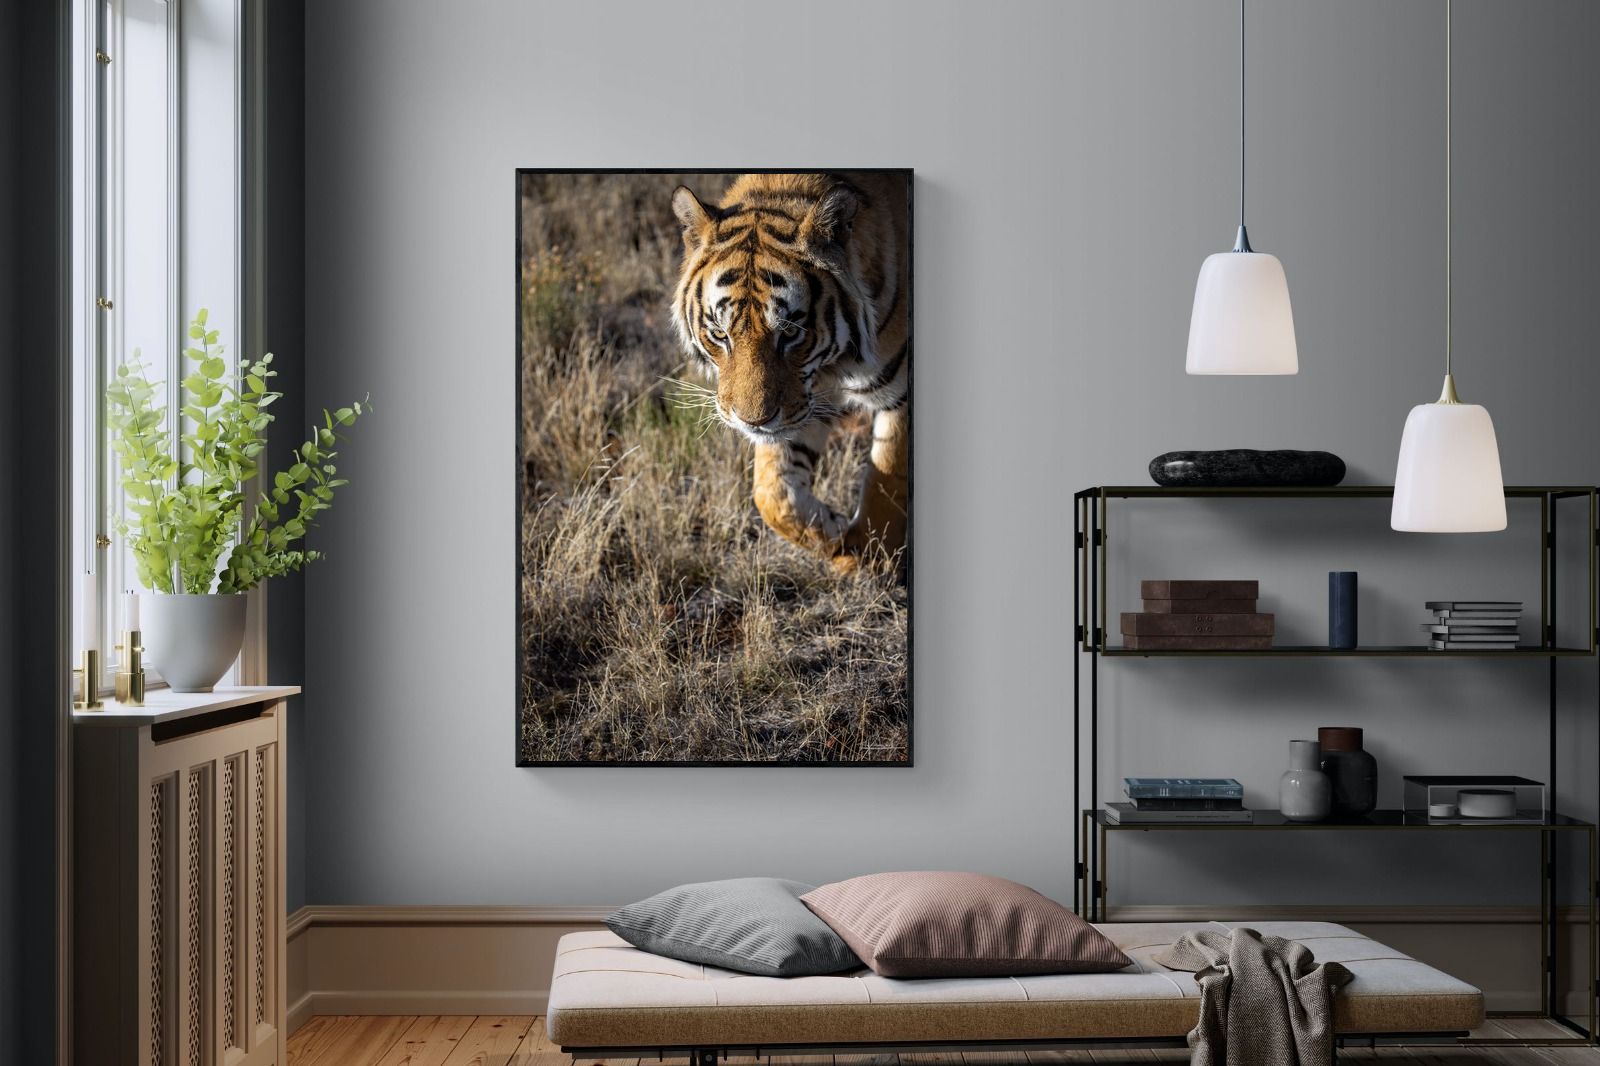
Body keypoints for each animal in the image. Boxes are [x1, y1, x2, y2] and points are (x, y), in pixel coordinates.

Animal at [670, 172, 910, 573]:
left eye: (791, 332)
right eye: (720, 333)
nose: (752, 422)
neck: (833, 366)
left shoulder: (902, 394)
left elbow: (886, 480)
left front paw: (871, 558)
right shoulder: (803, 403)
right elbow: (773, 494)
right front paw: (836, 533)